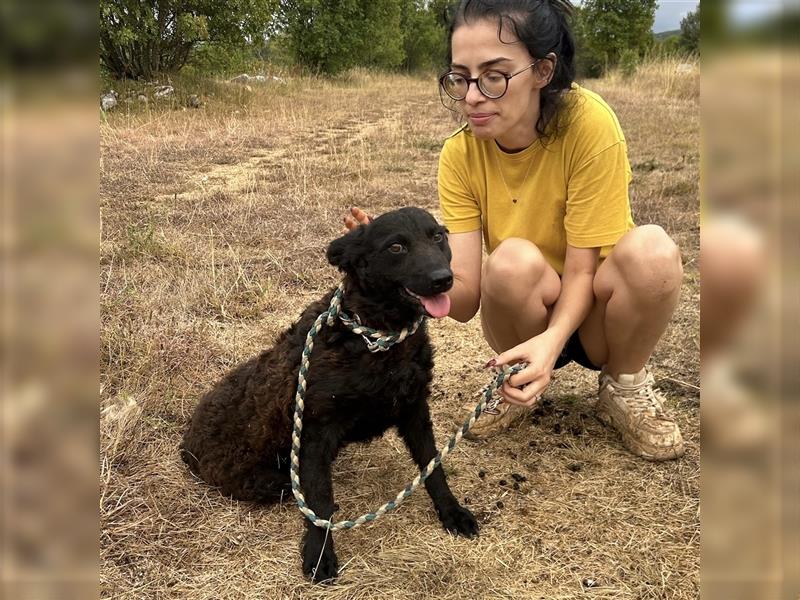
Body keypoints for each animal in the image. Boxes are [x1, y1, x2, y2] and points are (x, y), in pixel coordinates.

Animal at [183, 209, 476, 584]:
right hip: (267, 481)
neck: (376, 339)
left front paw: (452, 513)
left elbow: (433, 469)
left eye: (438, 237)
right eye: (396, 246)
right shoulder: (315, 434)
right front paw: (319, 555)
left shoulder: (415, 410)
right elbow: (319, 500)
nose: (443, 279)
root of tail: (186, 443)